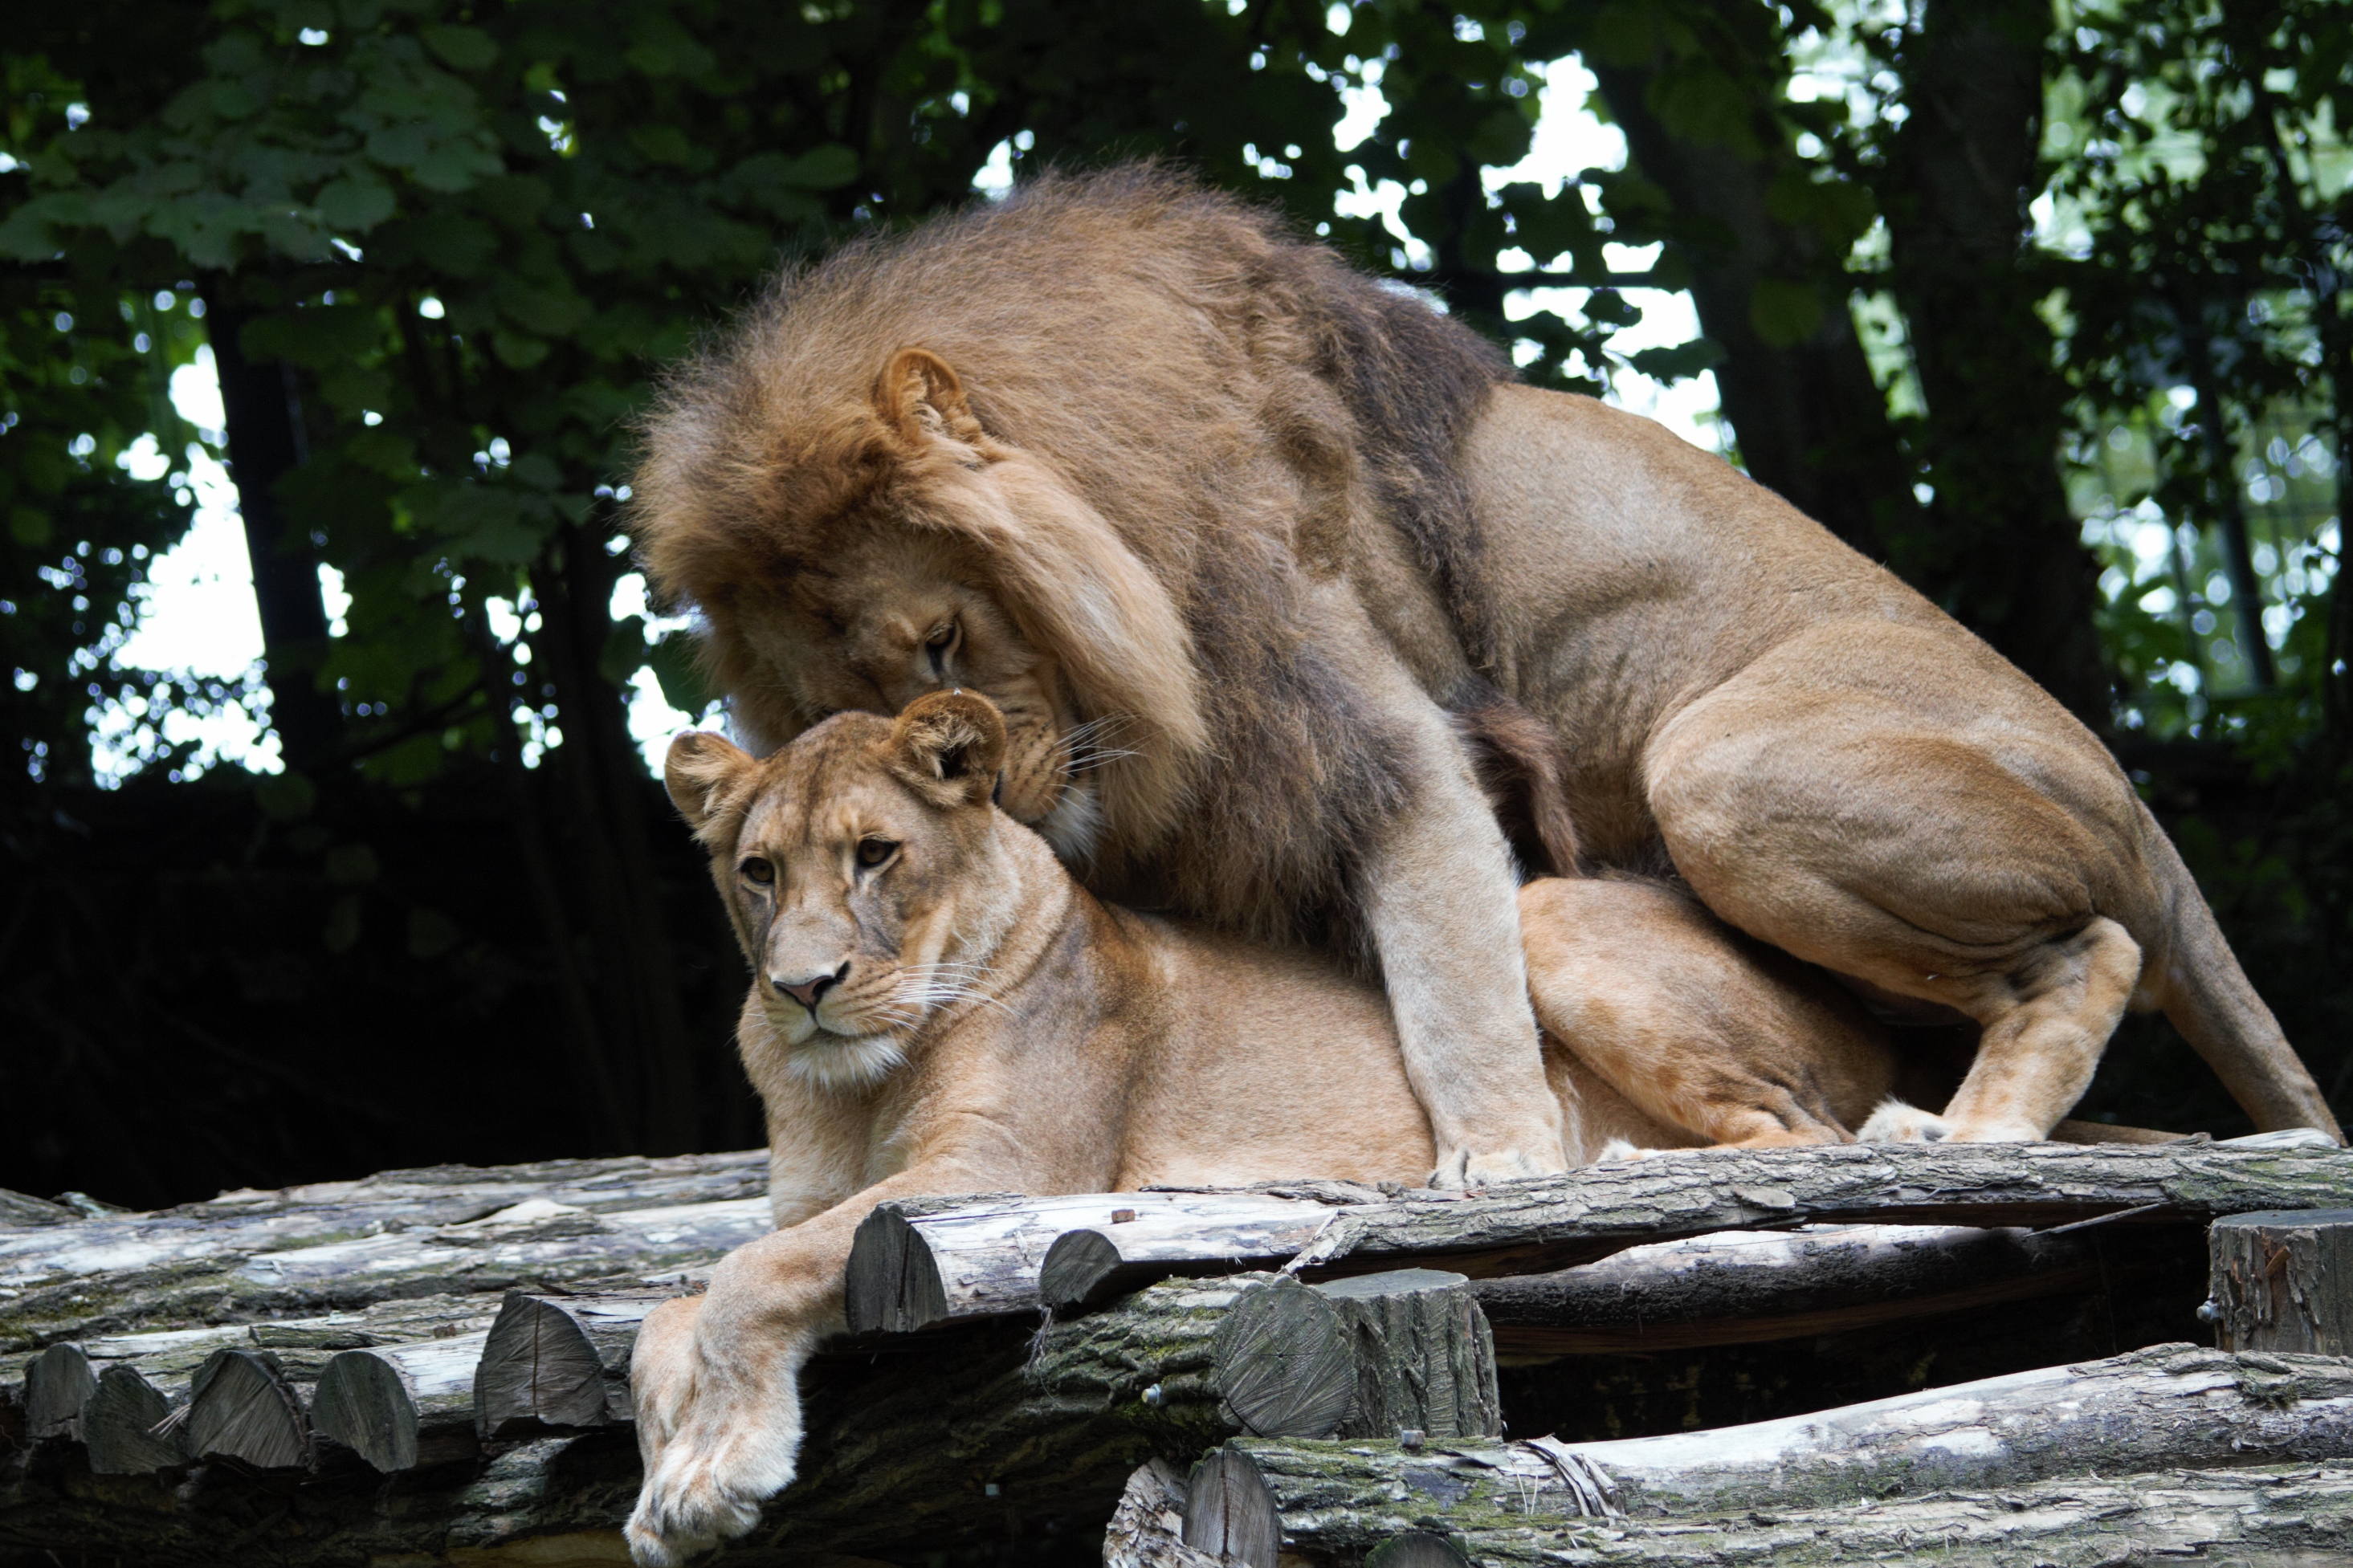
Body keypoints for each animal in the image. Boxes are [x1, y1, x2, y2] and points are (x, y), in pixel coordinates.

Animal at [626, 169, 2334, 1151]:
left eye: (943, 634)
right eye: (841, 697)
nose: (968, 756)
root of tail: (2140, 802)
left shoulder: (1380, 734)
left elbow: (1454, 988)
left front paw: (1500, 1164)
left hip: (1719, 766)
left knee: (2091, 949)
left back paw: (1968, 1135)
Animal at [626, 690, 1891, 1561]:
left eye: (875, 854)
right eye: (758, 872)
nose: (802, 988)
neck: (855, 1086)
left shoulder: (1002, 1169)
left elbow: (748, 1273)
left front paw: (711, 1474)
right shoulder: (821, 1191)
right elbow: (670, 1308)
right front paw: (662, 1478)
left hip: (1546, 917)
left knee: (1813, 1129)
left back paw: (1619, 1165)